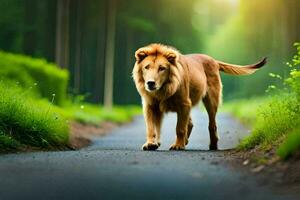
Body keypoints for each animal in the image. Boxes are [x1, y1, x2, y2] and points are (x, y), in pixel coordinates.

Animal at [132, 43, 266, 150]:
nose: (150, 83)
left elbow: (180, 128)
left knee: (212, 125)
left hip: (211, 101)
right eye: (146, 67)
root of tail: (213, 60)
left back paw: (212, 146)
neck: (163, 89)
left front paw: (178, 146)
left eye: (162, 68)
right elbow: (151, 128)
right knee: (190, 123)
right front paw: (151, 144)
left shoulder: (184, 104)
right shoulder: (150, 106)